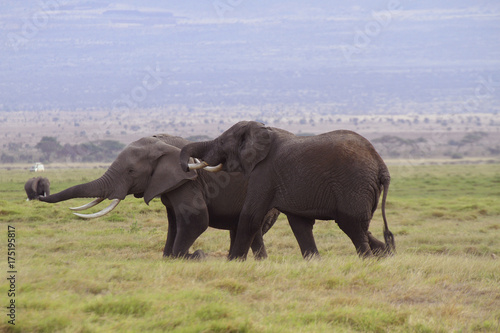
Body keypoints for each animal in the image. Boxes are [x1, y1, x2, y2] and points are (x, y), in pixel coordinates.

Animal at [39, 134, 280, 258]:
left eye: (131, 171)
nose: (40, 195)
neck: (161, 143)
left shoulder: (187, 180)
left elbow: (196, 218)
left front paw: (190, 257)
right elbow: (174, 221)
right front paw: (168, 257)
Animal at [180, 120, 394, 260]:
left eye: (223, 143)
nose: (186, 168)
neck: (263, 130)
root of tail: (380, 164)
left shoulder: (264, 173)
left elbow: (250, 217)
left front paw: (233, 262)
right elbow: (299, 224)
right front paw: (314, 262)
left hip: (354, 185)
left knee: (352, 225)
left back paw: (368, 260)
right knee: (360, 227)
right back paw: (386, 255)